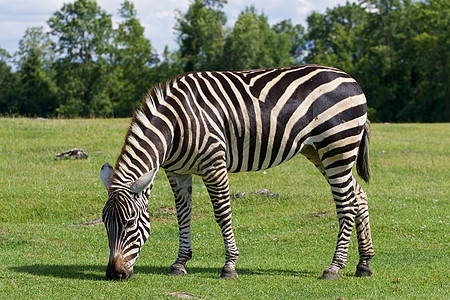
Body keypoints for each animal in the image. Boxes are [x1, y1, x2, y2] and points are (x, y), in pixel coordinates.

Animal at [100, 64, 374, 280]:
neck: (175, 125)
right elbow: (183, 216)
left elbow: (222, 214)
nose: (115, 274)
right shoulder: (177, 171)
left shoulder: (214, 164)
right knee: (358, 195)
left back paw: (334, 267)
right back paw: (364, 264)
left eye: (130, 222)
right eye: (105, 223)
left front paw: (229, 266)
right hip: (319, 151)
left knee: (346, 204)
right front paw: (179, 263)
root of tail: (351, 79)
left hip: (337, 147)